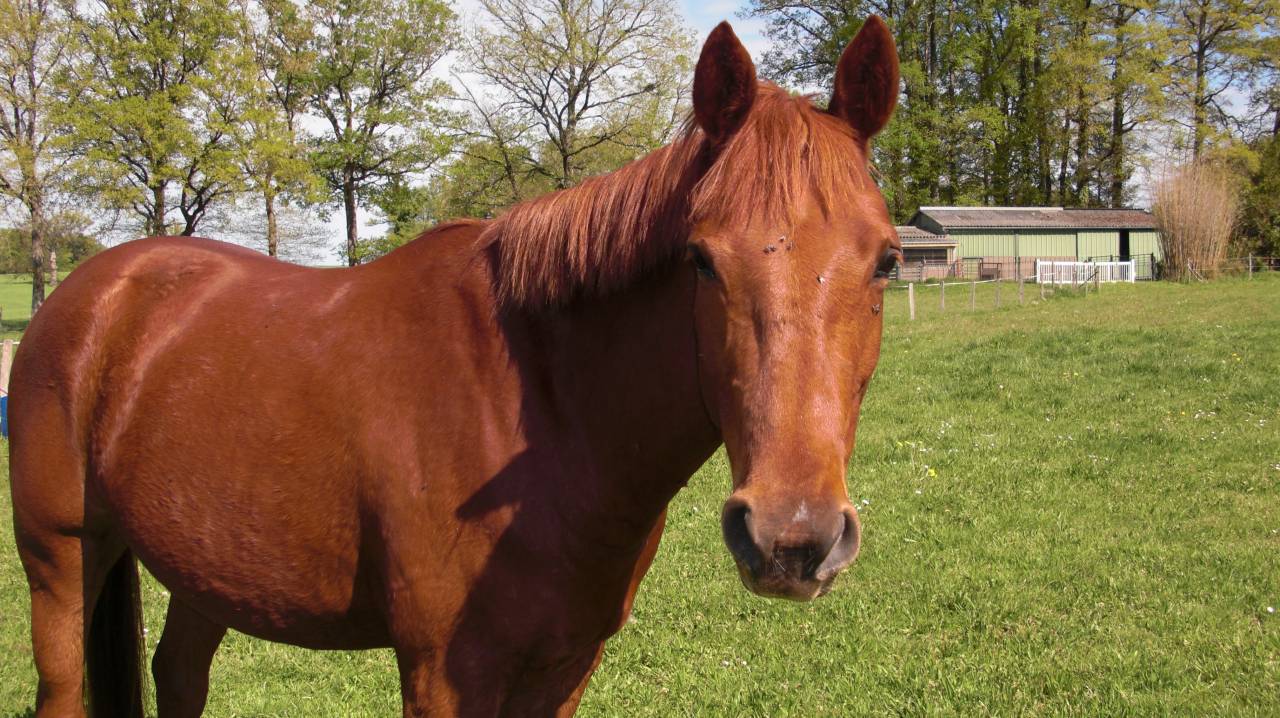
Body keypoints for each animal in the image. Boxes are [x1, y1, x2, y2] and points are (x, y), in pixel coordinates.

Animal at [9, 17, 901, 718]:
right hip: (60, 563)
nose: (792, 537)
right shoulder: (445, 673)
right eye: (701, 260)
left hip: (205, 570)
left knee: (180, 677)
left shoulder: (564, 668)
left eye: (887, 262)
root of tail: (95, 288)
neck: (535, 407)